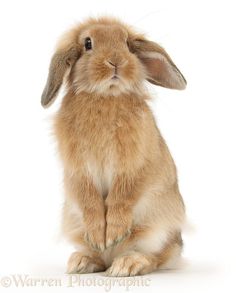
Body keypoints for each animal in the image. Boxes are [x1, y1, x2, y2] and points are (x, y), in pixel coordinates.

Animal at [41, 16, 187, 276]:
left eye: (127, 44)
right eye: (88, 43)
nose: (116, 61)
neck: (106, 96)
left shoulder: (132, 167)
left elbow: (122, 197)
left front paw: (114, 234)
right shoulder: (79, 171)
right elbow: (89, 200)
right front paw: (100, 237)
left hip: (157, 230)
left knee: (156, 257)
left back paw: (125, 265)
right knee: (100, 256)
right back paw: (82, 261)